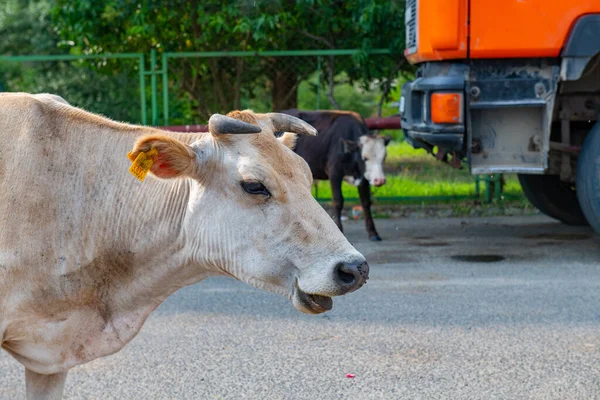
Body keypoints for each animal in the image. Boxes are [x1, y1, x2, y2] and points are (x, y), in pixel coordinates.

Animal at [282, 108, 394, 241]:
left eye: (384, 157)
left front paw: (373, 233)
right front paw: (339, 229)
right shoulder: (335, 174)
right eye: (364, 158)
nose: (379, 180)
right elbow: (338, 201)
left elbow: (366, 202)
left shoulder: (363, 178)